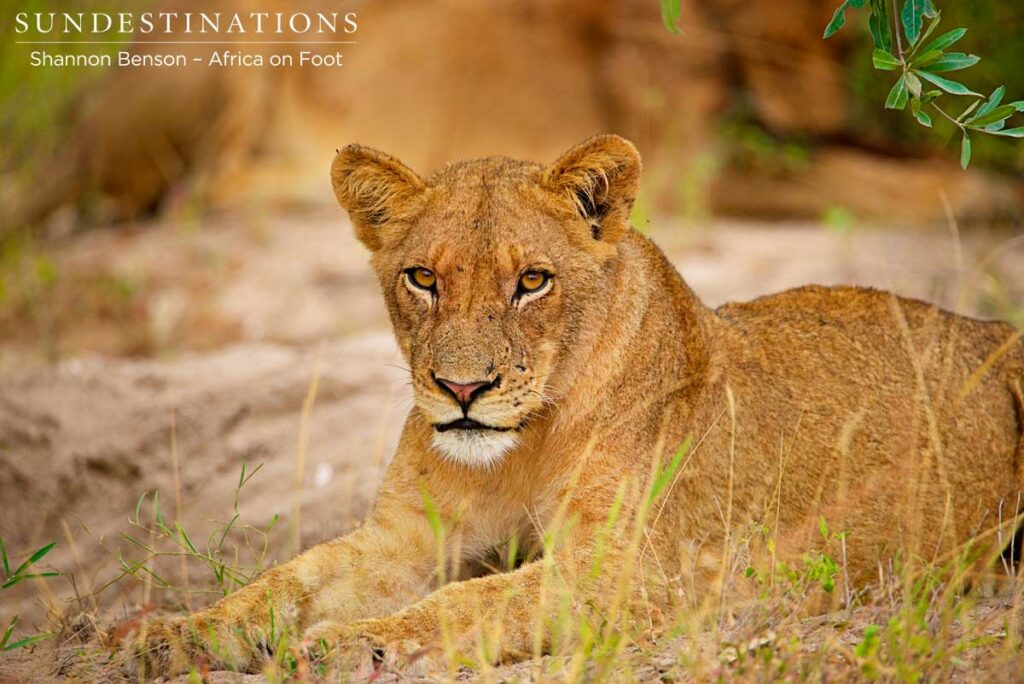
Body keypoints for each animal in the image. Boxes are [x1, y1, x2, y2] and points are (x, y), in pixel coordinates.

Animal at [121, 134, 1024, 677]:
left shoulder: (629, 571)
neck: (520, 447)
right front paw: (162, 636)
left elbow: (473, 602)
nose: (463, 391)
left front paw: (358, 644)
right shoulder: (404, 540)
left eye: (532, 280)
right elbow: (284, 581)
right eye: (423, 278)